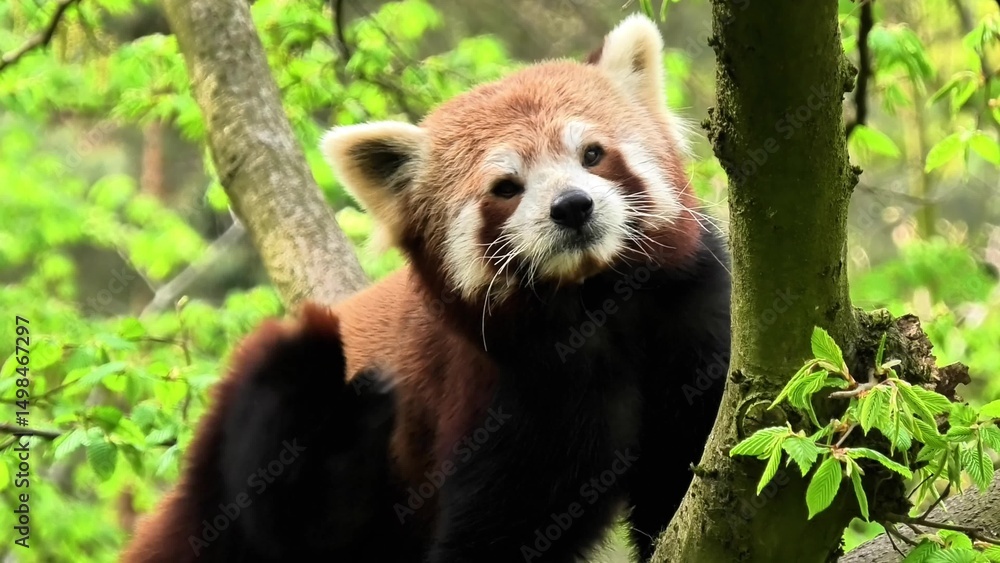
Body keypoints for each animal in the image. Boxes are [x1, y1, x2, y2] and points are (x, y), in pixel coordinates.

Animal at [122, 14, 731, 563]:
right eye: (507, 187)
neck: (594, 305)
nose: (572, 207)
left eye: (593, 154)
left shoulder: (699, 324)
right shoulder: (503, 401)